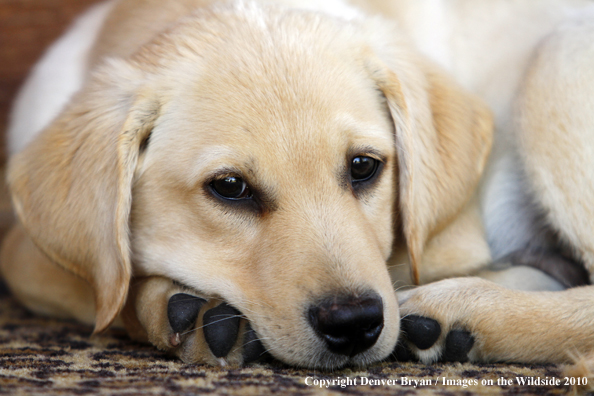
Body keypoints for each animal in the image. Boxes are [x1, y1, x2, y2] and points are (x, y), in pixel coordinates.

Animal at [1, 0, 592, 368]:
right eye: (230, 187)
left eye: (363, 167)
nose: (354, 324)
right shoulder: (26, 246)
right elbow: (95, 282)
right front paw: (178, 307)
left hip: (553, 62)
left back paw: (460, 313)